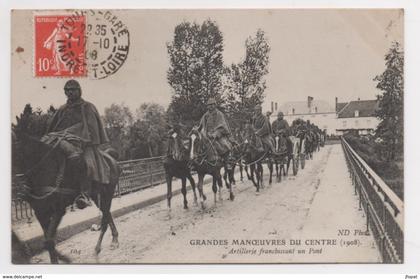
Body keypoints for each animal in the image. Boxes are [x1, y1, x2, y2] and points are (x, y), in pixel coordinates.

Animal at [13, 133, 120, 264]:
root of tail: (110, 157)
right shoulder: (40, 212)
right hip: (97, 196)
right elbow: (48, 239)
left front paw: (63, 258)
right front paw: (58, 258)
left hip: (108, 193)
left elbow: (49, 240)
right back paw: (114, 239)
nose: (21, 190)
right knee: (107, 214)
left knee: (105, 219)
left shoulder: (58, 210)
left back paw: (99, 247)